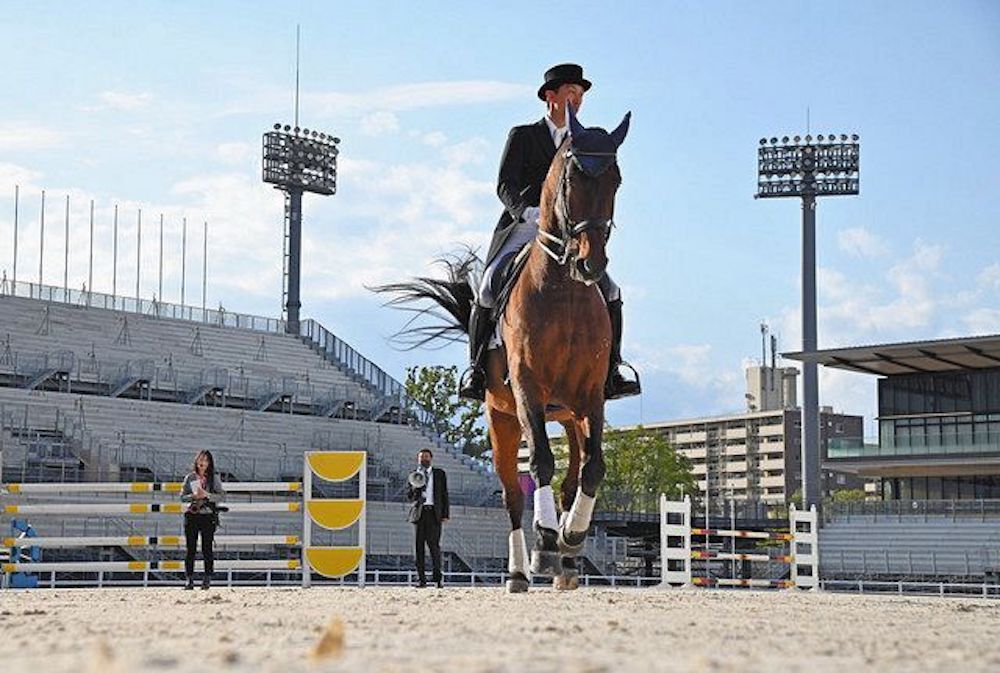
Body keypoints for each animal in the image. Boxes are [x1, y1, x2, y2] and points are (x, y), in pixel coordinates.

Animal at [378, 103, 628, 588]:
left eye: (616, 180)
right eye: (572, 179)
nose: (591, 263)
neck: (566, 291)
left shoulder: (591, 395)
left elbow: (594, 468)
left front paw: (571, 537)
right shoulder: (528, 387)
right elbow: (541, 465)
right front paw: (546, 545)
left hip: (568, 416)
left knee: (570, 478)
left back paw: (568, 561)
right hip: (502, 418)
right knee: (514, 491)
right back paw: (520, 570)